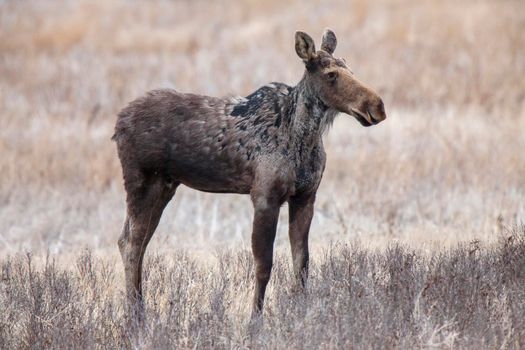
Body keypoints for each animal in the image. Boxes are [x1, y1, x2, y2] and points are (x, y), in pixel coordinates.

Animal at [113, 29, 384, 318]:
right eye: (331, 74)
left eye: (350, 67)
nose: (377, 106)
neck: (303, 138)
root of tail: (118, 124)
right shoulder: (265, 196)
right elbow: (264, 265)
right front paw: (255, 319)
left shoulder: (306, 196)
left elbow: (302, 263)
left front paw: (300, 313)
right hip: (141, 181)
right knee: (130, 243)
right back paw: (136, 316)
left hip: (165, 185)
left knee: (134, 241)